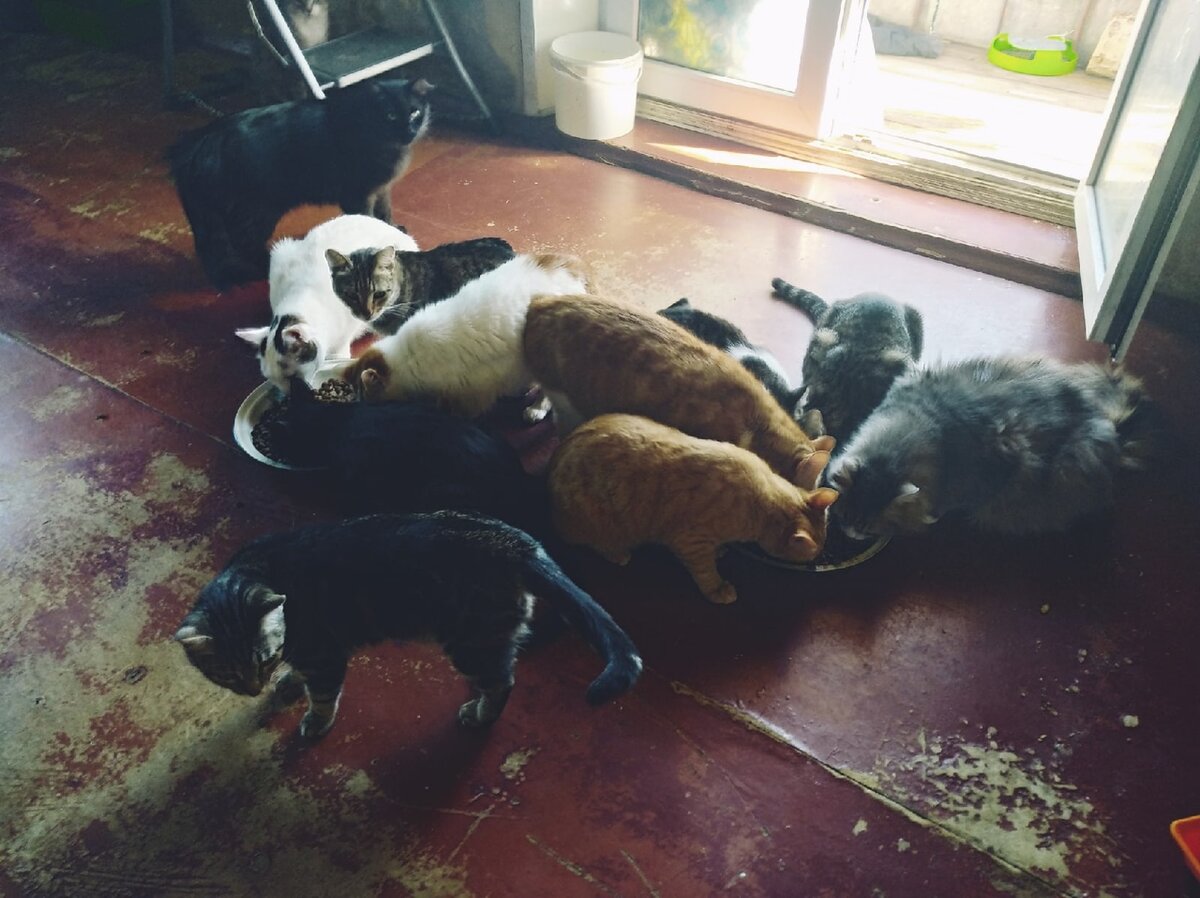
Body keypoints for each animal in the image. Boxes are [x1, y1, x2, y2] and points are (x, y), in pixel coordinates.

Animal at [167, 76, 431, 288]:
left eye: (415, 113)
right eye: (390, 115)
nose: (409, 131)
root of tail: (200, 142)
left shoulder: (381, 189)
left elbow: (385, 213)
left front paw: (392, 230)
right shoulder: (357, 194)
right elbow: (367, 219)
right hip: (260, 208)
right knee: (241, 240)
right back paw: (269, 263)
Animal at [174, 510, 642, 738]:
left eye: (260, 660)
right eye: (228, 673)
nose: (253, 688)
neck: (255, 569)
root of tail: (521, 544)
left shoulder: (325, 655)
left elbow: (322, 696)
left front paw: (314, 720)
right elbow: (299, 674)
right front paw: (288, 682)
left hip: (470, 641)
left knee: (503, 681)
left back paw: (480, 715)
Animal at [336, 253, 591, 416]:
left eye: (367, 397)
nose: (360, 406)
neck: (408, 357)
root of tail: (573, 269)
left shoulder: (473, 391)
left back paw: (537, 408)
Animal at [548, 414, 838, 604]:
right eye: (814, 554)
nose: (820, 558)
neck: (762, 497)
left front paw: (721, 550)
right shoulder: (691, 542)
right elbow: (706, 572)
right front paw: (719, 589)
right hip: (601, 524)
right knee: (597, 543)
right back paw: (618, 553)